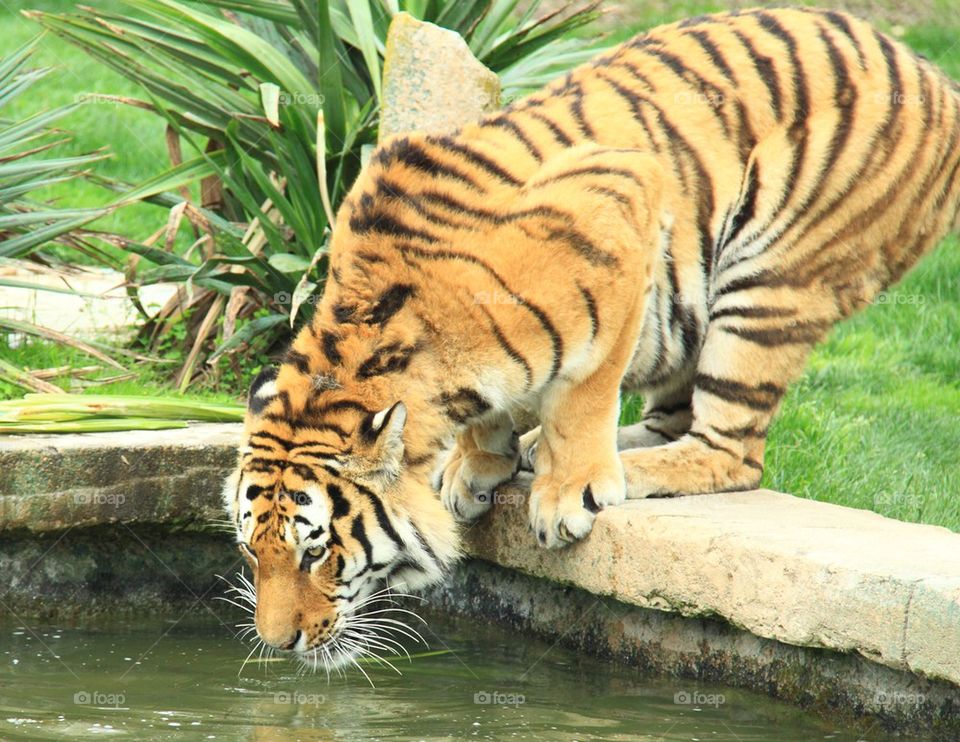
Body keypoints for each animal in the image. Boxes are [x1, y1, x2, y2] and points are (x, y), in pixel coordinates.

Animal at [224, 7, 960, 669]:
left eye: (316, 551)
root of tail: (927, 72)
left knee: (733, 452)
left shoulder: (620, 210)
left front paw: (566, 492)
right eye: (252, 550)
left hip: (767, 278)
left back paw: (625, 470)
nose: (277, 643)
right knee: (674, 420)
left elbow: (584, 393)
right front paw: (480, 462)